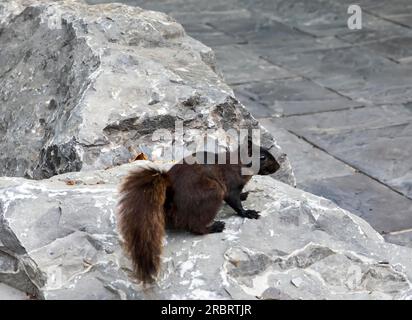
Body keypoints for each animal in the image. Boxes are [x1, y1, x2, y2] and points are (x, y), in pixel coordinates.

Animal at [117, 139, 282, 284]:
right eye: (262, 157)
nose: (279, 166)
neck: (238, 164)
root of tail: (169, 201)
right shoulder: (230, 185)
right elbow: (235, 202)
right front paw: (248, 213)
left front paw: (244, 195)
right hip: (213, 193)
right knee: (196, 227)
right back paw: (215, 227)